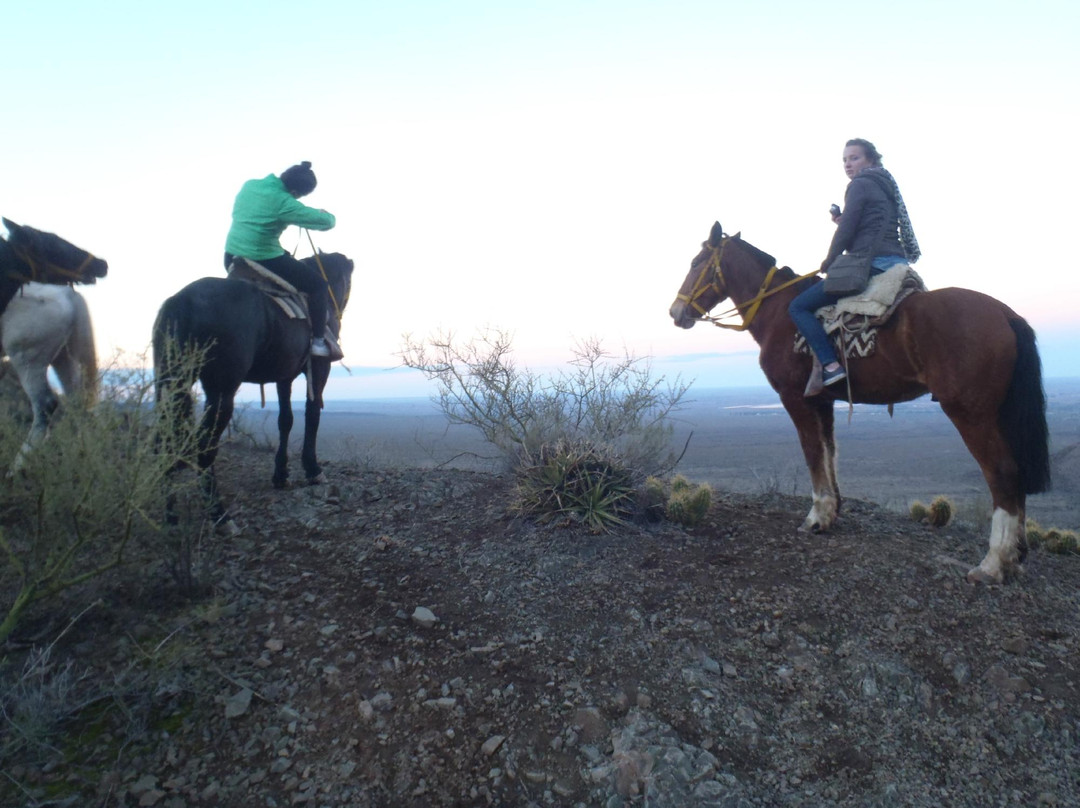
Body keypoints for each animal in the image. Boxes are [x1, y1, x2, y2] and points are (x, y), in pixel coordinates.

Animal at [0, 283, 98, 469]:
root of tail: (67, 294)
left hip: (28, 360)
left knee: (45, 406)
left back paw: (17, 468)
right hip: (62, 357)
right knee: (76, 404)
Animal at [152, 252, 354, 520]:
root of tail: (180, 301)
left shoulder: (284, 375)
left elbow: (285, 420)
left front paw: (281, 474)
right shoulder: (320, 368)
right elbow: (312, 414)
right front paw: (312, 469)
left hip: (169, 386)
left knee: (162, 441)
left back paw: (170, 514)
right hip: (220, 392)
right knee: (205, 448)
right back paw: (218, 513)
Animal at [669, 222, 1050, 585]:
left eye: (696, 262)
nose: (675, 311)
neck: (779, 312)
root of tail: (1005, 314)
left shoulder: (794, 399)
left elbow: (812, 454)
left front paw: (815, 518)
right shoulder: (822, 401)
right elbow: (829, 453)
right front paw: (829, 515)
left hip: (971, 413)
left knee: (1002, 473)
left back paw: (992, 564)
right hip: (998, 414)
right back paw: (1014, 557)